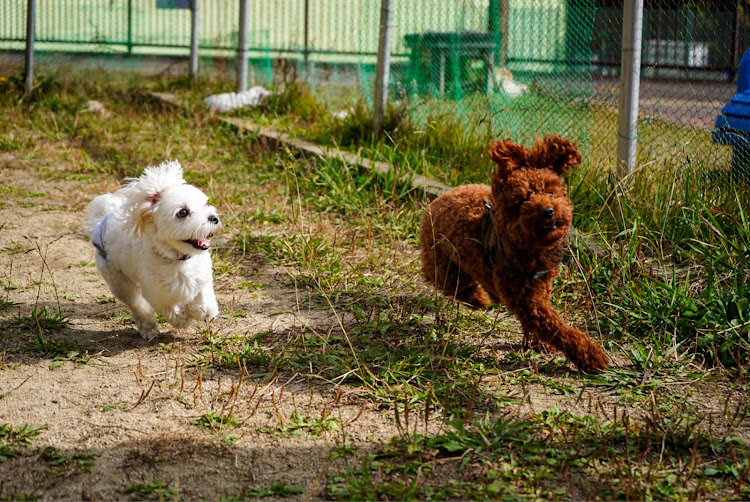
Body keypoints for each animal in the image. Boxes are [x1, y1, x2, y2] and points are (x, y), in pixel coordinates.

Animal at [84, 161, 223, 342]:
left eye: (204, 205)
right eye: (183, 212)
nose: (214, 218)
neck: (176, 259)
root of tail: (104, 218)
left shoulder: (201, 277)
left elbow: (204, 299)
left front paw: (203, 311)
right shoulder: (157, 293)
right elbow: (170, 310)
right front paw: (183, 319)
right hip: (117, 280)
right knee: (138, 305)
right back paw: (149, 329)